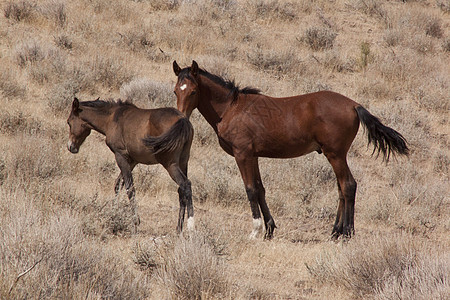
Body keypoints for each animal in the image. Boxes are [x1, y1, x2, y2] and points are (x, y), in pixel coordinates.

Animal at [66, 97, 195, 233]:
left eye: (69, 122)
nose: (71, 147)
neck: (112, 118)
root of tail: (183, 120)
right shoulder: (132, 161)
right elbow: (118, 185)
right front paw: (114, 212)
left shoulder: (120, 156)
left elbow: (129, 188)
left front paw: (135, 221)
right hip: (183, 162)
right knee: (181, 191)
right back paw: (179, 228)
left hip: (170, 164)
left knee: (185, 184)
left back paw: (191, 226)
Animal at [171, 60, 408, 239]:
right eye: (175, 90)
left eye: (193, 91)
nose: (181, 116)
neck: (231, 109)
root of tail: (353, 104)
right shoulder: (254, 156)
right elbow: (260, 189)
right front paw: (269, 230)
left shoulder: (243, 154)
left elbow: (250, 189)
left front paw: (255, 232)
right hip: (336, 156)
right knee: (341, 189)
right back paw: (335, 231)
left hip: (336, 155)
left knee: (348, 186)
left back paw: (346, 233)